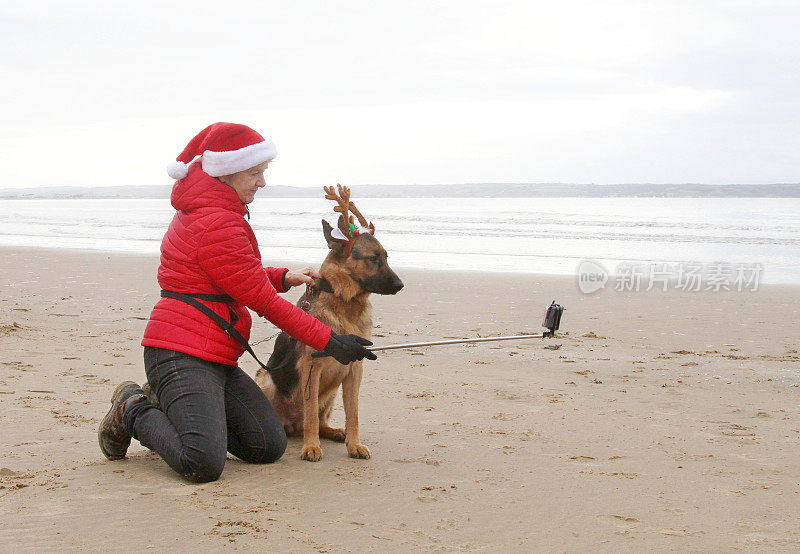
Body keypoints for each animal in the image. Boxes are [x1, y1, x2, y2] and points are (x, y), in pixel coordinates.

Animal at [256, 188, 404, 460]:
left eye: (386, 257)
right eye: (373, 258)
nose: (400, 285)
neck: (345, 301)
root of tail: (292, 425)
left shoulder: (355, 368)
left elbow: (353, 412)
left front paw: (354, 444)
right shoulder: (311, 369)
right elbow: (312, 414)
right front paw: (311, 446)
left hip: (332, 392)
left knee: (321, 420)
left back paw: (335, 432)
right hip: (266, 380)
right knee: (304, 419)